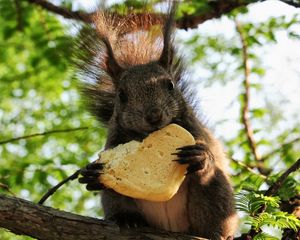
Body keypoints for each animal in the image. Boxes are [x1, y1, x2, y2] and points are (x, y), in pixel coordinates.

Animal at [77, 3, 239, 240]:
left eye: (170, 85)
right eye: (121, 95)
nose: (154, 116)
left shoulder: (196, 131)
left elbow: (209, 153)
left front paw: (201, 156)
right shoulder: (113, 141)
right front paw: (92, 175)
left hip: (216, 194)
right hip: (117, 201)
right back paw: (127, 219)